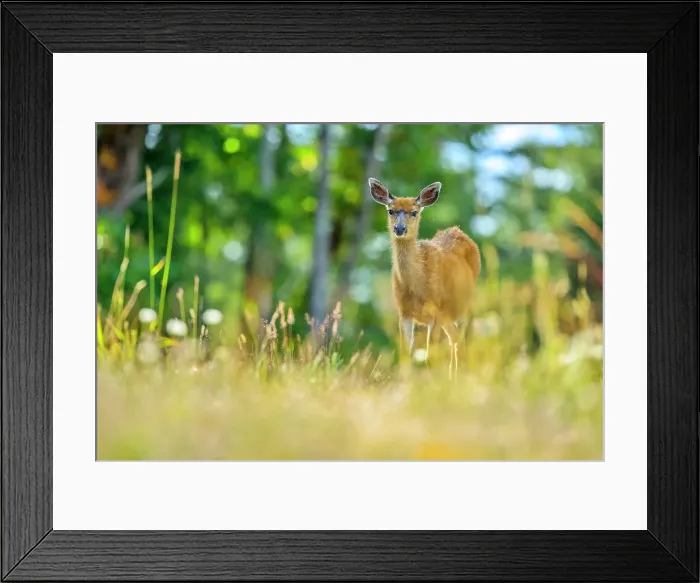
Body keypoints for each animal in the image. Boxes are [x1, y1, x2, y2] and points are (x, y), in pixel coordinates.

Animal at [369, 178, 481, 377]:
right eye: (391, 210)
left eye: (414, 212)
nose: (399, 228)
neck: (416, 285)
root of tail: (458, 231)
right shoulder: (404, 312)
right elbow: (405, 356)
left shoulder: (435, 310)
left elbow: (430, 358)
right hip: (447, 315)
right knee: (456, 338)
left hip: (464, 305)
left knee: (462, 337)